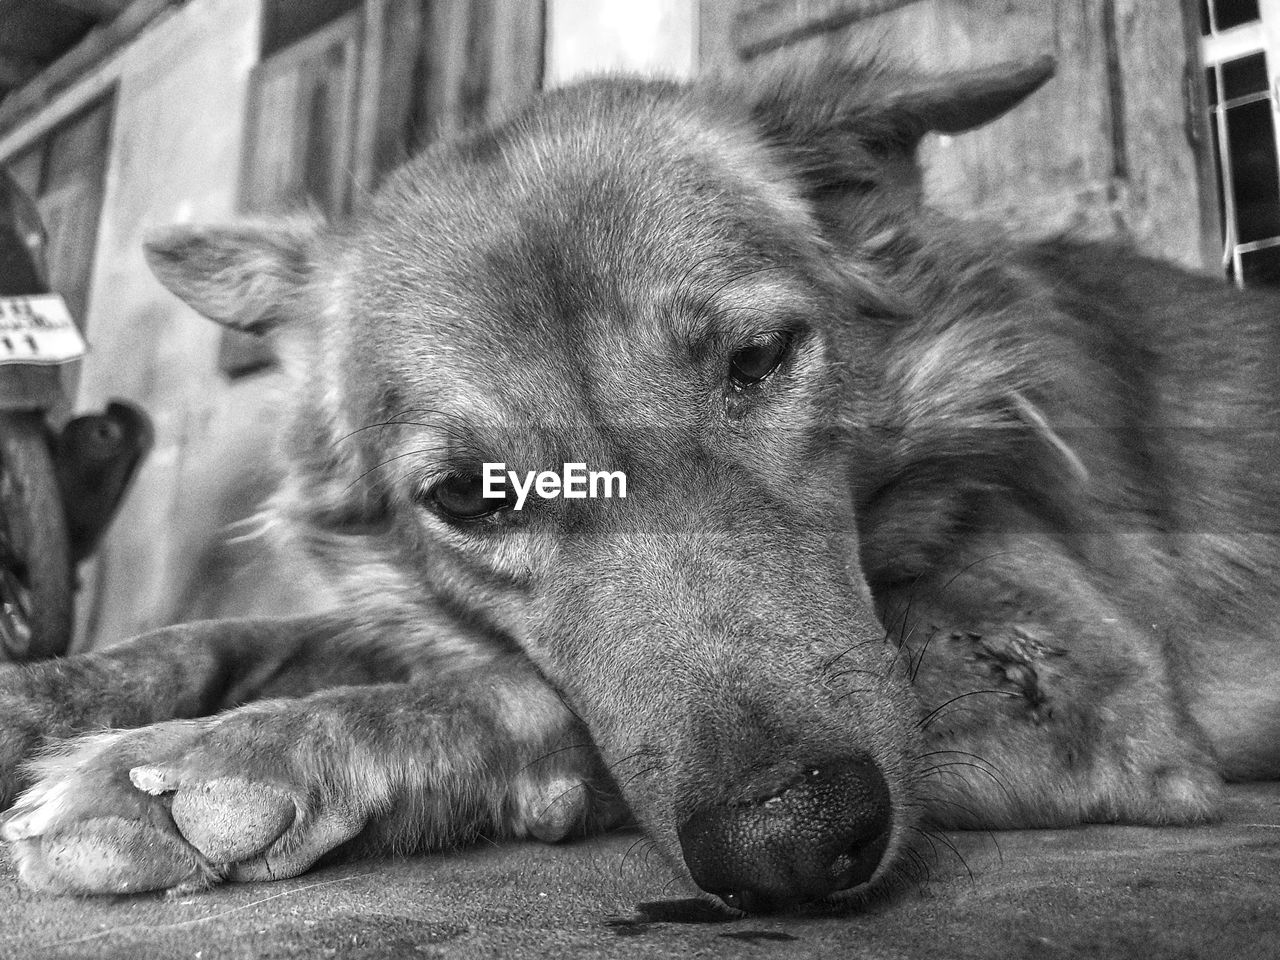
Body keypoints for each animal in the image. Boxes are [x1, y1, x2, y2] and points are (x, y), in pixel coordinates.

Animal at [2, 54, 1280, 916]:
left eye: (756, 360)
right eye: (468, 496)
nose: (790, 842)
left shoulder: (1076, 682)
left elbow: (522, 697)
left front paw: (223, 759)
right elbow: (246, 632)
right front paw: (49, 697)